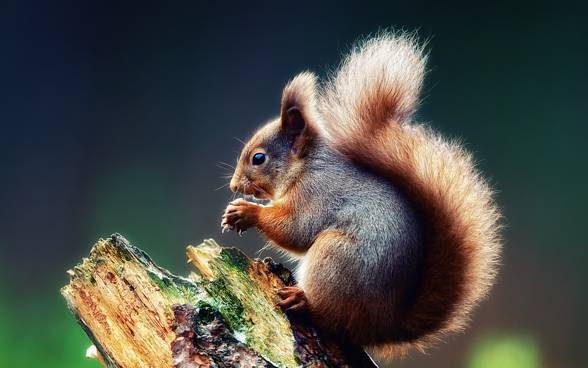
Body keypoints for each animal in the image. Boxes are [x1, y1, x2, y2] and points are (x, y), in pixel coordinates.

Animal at [219, 32, 500, 360]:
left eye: (259, 158)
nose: (234, 186)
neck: (306, 166)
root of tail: (381, 327)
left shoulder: (316, 193)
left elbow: (297, 230)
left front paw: (245, 212)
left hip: (335, 258)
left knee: (328, 316)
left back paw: (301, 301)